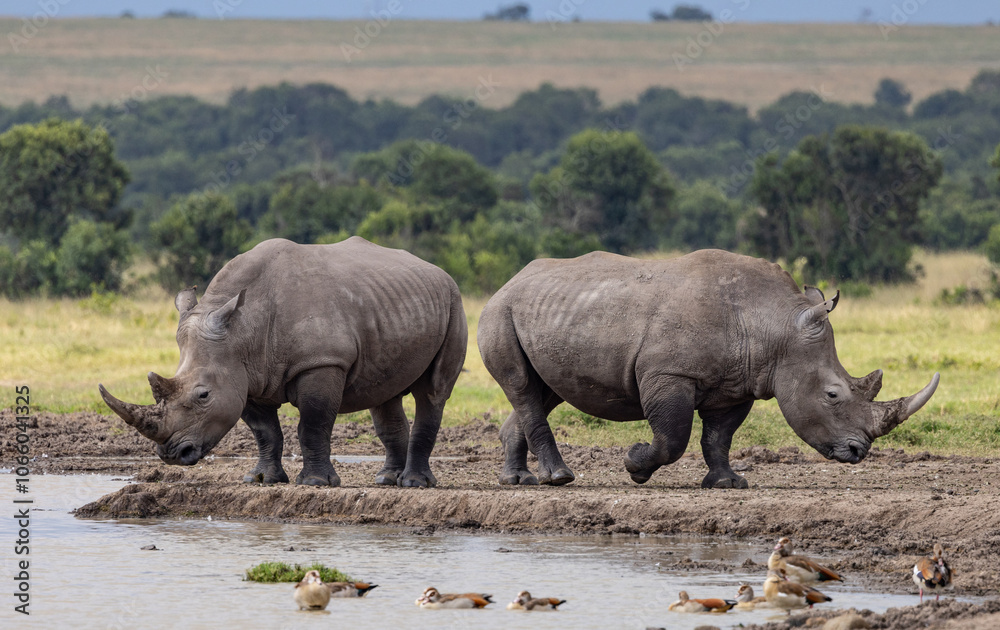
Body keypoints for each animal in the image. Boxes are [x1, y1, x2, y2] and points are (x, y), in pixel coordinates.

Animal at [99, 237, 467, 487]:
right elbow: (265, 432)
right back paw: (386, 480)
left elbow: (313, 424)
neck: (242, 330)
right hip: (395, 305)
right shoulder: (245, 377)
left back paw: (414, 484)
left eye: (203, 396)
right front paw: (262, 479)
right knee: (385, 394)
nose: (172, 456)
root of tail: (438, 271)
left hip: (453, 301)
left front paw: (315, 483)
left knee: (432, 392)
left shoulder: (321, 362)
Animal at [477, 249, 939, 489]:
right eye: (832, 394)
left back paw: (517, 480)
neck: (773, 325)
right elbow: (673, 437)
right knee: (523, 387)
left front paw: (727, 484)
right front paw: (635, 465)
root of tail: (508, 281)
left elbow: (719, 437)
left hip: (548, 312)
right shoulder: (668, 374)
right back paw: (559, 478)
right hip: (499, 312)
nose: (859, 452)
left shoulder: (740, 384)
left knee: (544, 391)